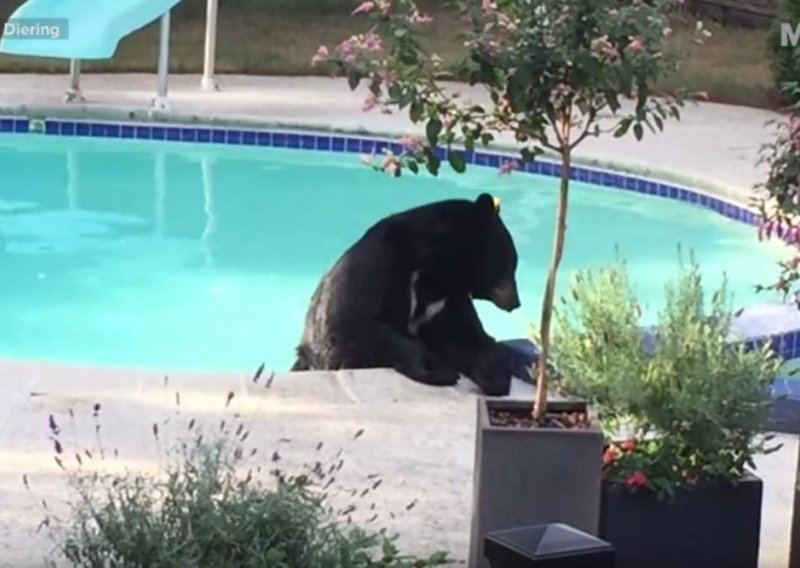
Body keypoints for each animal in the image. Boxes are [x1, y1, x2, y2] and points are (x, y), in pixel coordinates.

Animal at [290, 192, 520, 394]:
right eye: (512, 261)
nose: (515, 302)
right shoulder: (379, 266)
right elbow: (353, 328)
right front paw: (438, 370)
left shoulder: (445, 302)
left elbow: (463, 334)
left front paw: (494, 376)